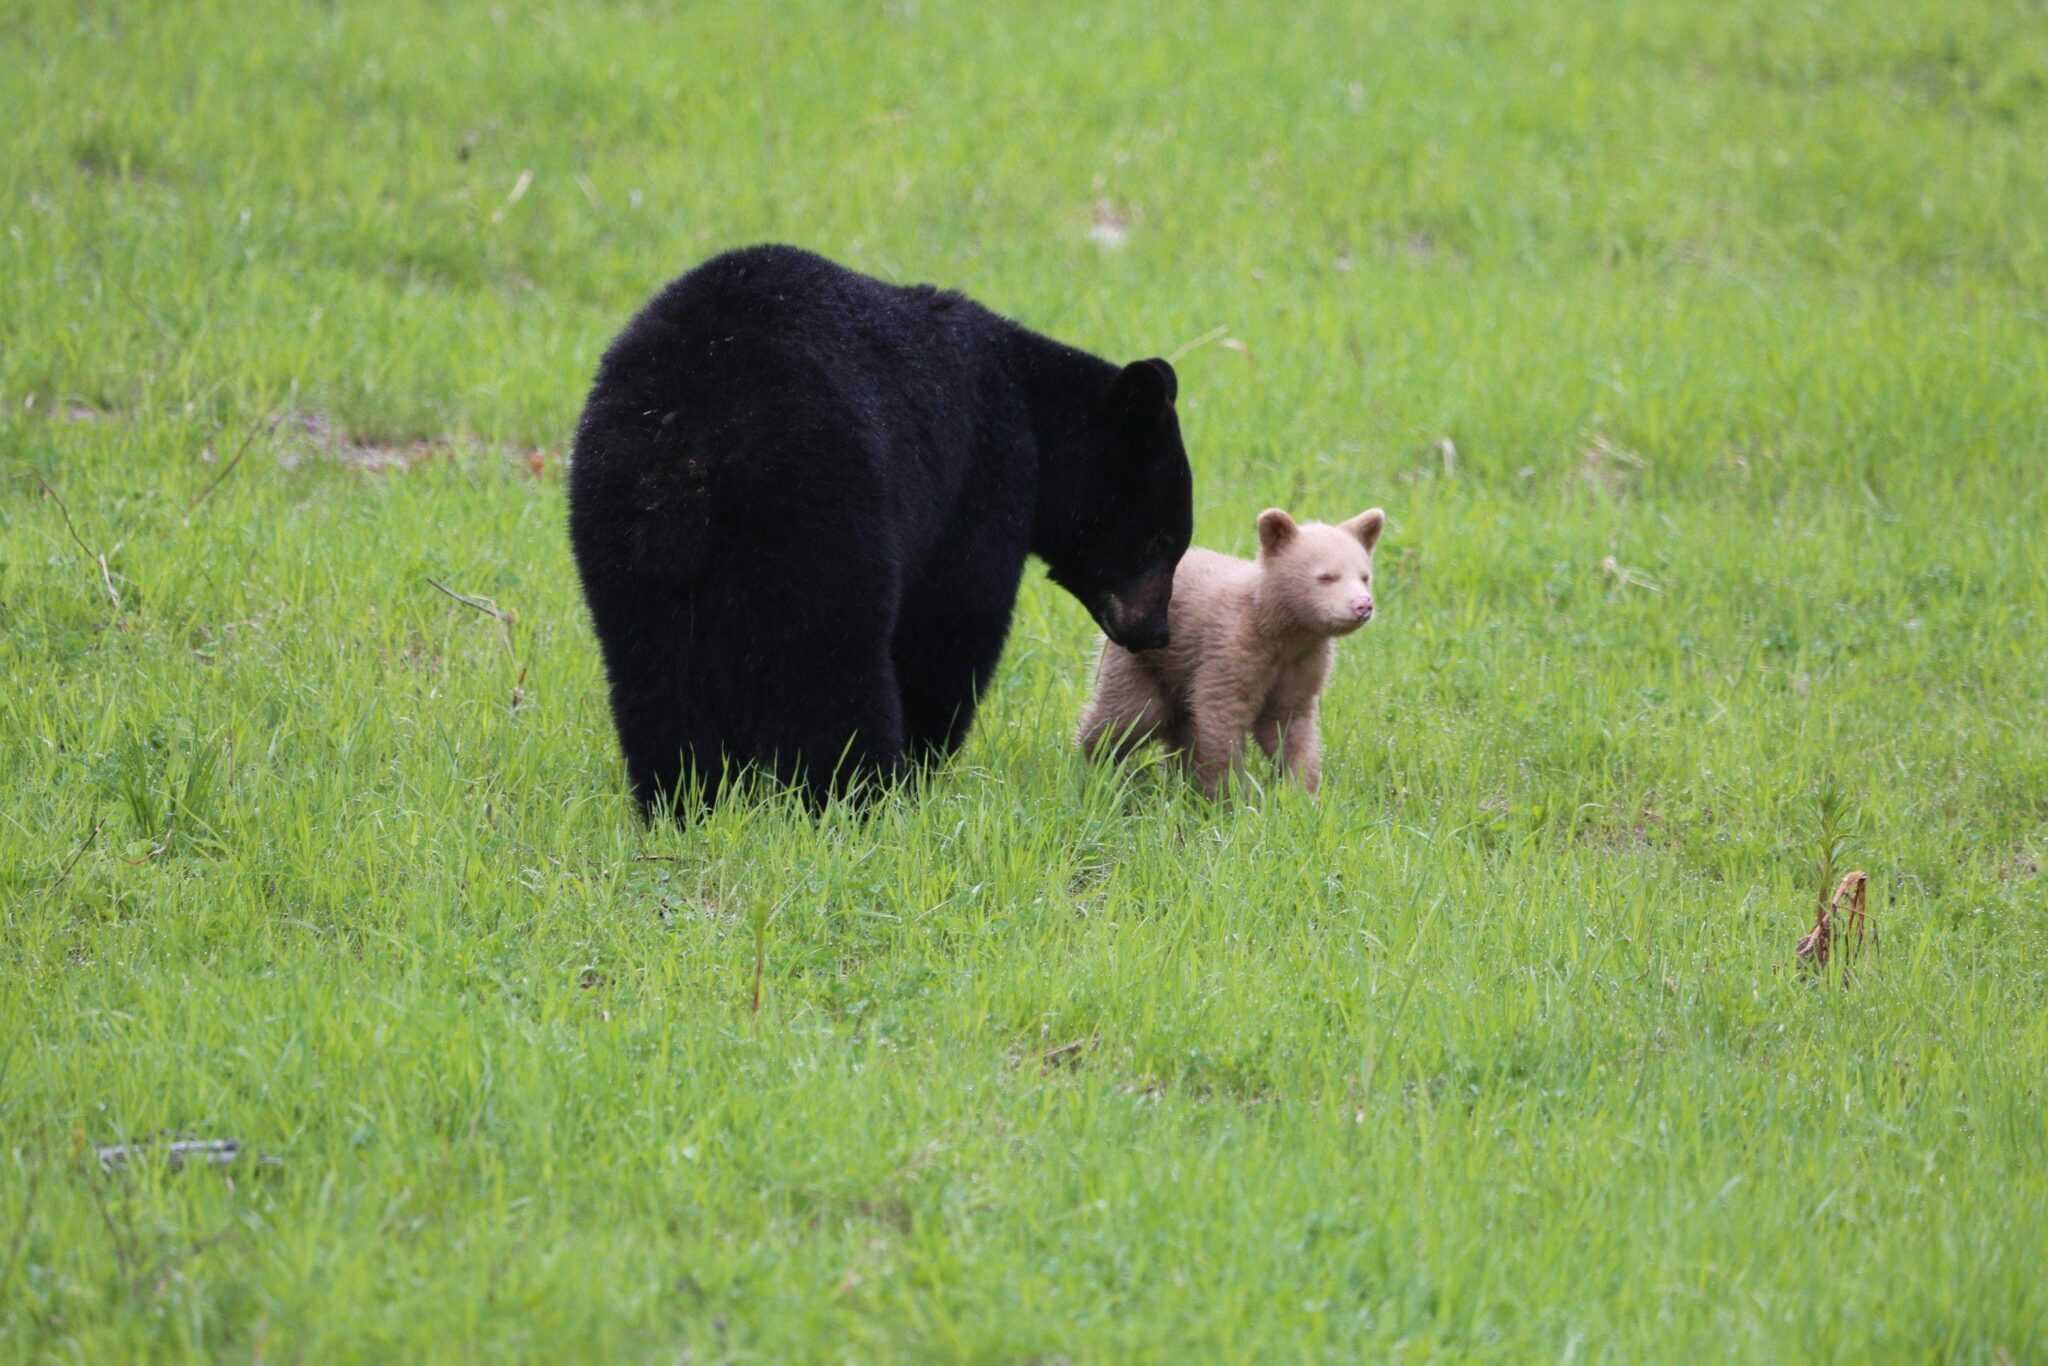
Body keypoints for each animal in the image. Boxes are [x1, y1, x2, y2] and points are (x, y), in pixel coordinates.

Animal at [569, 241, 1196, 819]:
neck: (1032, 404)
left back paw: (682, 800)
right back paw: (857, 795)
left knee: (654, 672)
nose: (1157, 631)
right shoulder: (983, 474)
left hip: (619, 528)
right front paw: (921, 760)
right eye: (1162, 540)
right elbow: (954, 619)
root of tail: (689, 447)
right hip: (823, 512)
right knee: (832, 665)